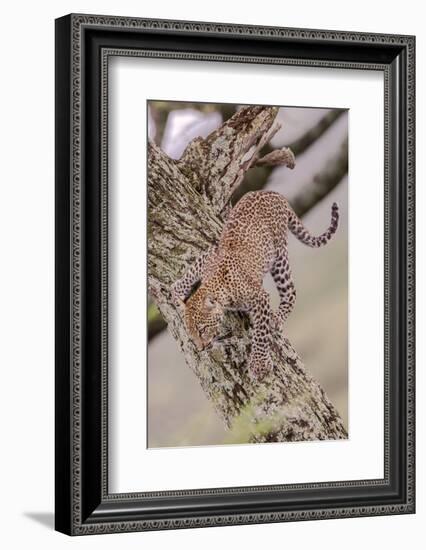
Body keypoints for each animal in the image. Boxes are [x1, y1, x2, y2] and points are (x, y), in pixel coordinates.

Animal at [170, 191, 340, 380]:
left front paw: (259, 364)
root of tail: (273, 193)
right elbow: (191, 272)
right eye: (191, 335)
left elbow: (260, 333)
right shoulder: (209, 255)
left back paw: (277, 318)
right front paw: (177, 294)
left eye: (202, 330)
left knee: (290, 291)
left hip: (279, 255)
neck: (219, 288)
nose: (201, 348)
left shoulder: (260, 298)